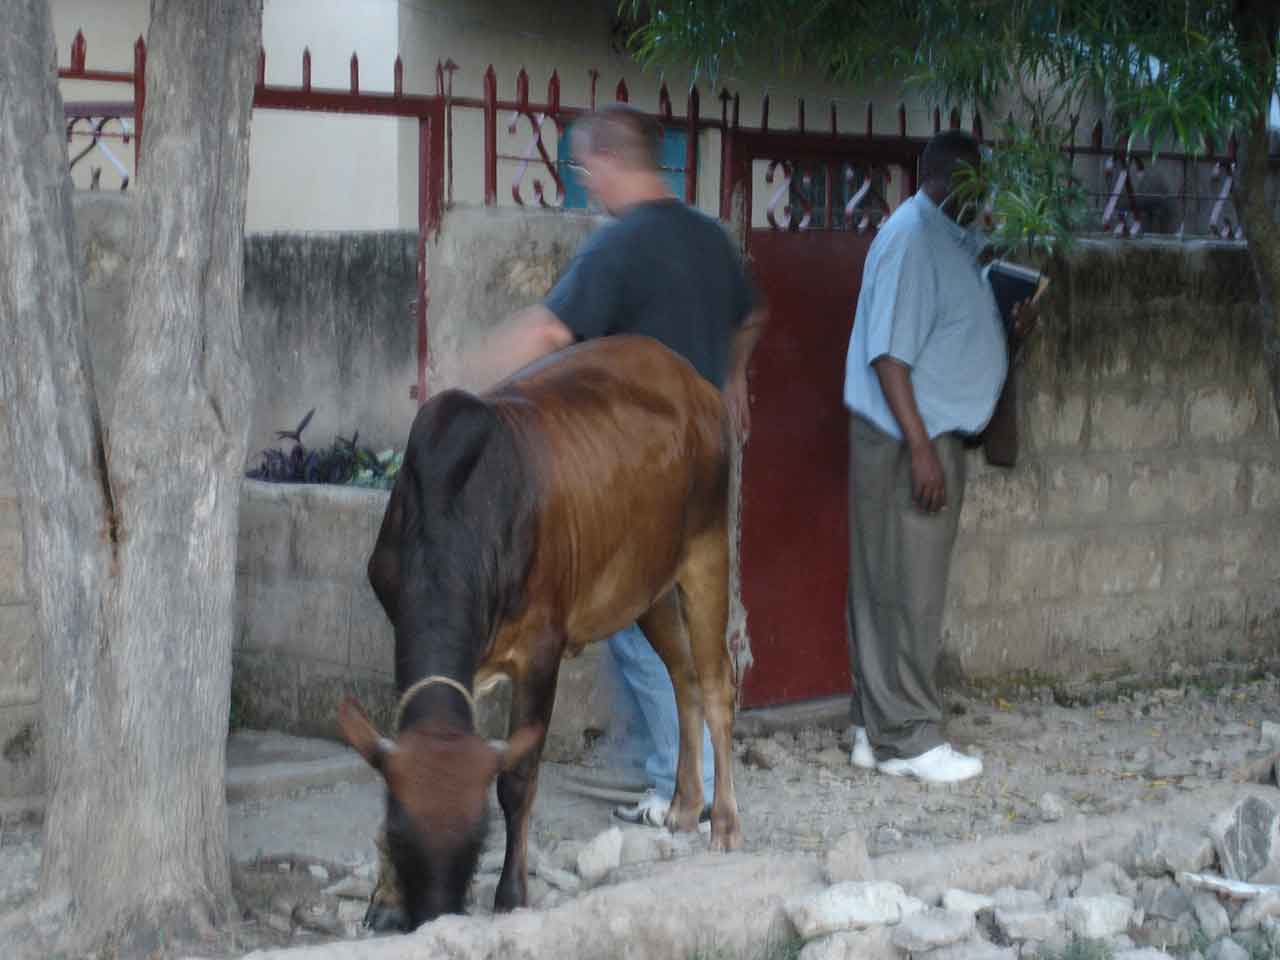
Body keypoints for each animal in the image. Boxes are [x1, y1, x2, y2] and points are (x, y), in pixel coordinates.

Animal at [336, 334, 743, 930]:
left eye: (475, 840)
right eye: (402, 836)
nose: (436, 914)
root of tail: (694, 381)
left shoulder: (540, 651)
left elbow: (518, 780)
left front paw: (511, 893)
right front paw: (385, 901)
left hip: (707, 551)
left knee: (716, 685)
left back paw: (727, 824)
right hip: (648, 589)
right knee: (682, 677)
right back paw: (685, 808)